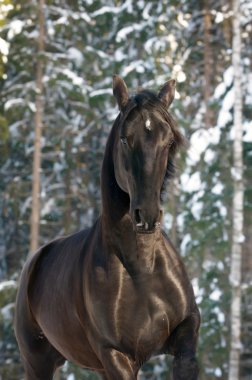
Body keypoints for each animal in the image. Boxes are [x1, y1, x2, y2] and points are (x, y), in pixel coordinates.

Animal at [14, 77, 200, 380]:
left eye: (169, 141)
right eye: (125, 138)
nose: (146, 216)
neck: (142, 269)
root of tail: (35, 259)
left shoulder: (186, 332)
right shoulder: (116, 355)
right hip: (37, 361)